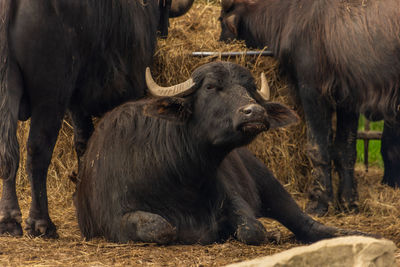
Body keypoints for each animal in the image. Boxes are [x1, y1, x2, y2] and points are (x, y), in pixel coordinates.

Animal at [0, 0, 192, 239]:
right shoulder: (133, 87)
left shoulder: (77, 103)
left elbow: (83, 143)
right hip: (51, 95)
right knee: (37, 152)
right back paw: (41, 223)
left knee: (8, 154)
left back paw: (9, 221)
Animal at [73, 62, 368, 245]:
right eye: (210, 87)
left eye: (249, 89)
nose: (255, 112)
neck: (180, 177)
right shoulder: (114, 220)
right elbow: (162, 227)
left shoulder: (234, 199)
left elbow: (252, 228)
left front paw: (267, 232)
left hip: (271, 184)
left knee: (306, 224)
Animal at [219, 0, 400, 216]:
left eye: (220, 20)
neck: (289, 13)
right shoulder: (347, 99)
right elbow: (345, 150)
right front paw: (348, 202)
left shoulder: (312, 89)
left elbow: (318, 148)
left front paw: (319, 202)